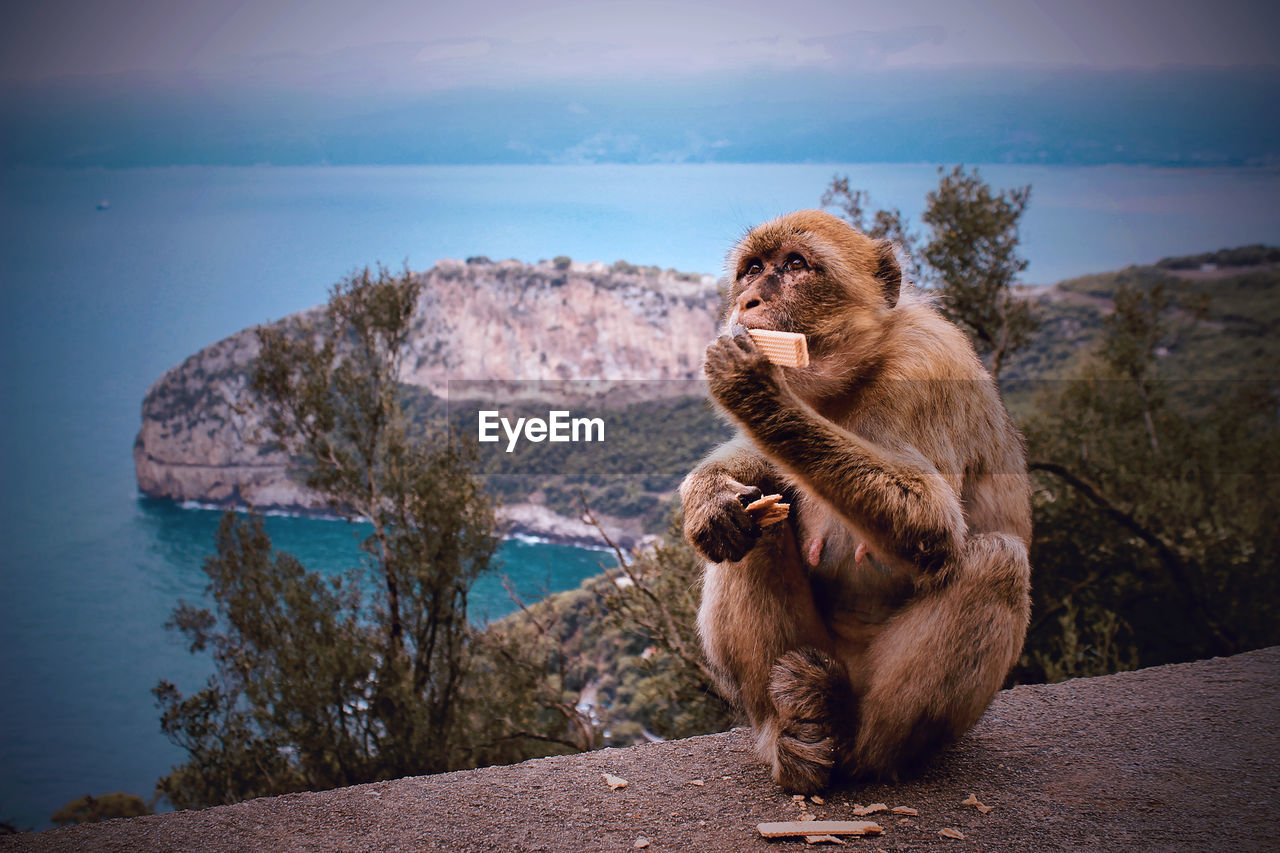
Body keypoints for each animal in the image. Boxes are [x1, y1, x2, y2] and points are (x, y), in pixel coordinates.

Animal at [680, 208, 1029, 794]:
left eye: (796, 266)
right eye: (752, 269)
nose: (747, 301)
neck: (856, 373)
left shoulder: (928, 366)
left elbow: (933, 521)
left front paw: (754, 390)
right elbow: (758, 474)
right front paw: (710, 497)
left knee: (998, 560)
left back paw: (855, 739)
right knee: (762, 524)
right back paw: (796, 737)